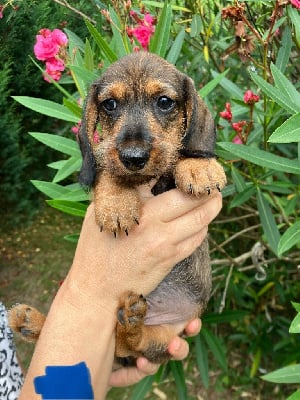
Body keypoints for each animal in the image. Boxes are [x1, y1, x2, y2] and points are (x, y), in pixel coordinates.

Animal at [8, 51, 225, 368]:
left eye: (164, 102)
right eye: (110, 104)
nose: (133, 158)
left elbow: (182, 154)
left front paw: (199, 166)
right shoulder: (107, 159)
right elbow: (107, 169)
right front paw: (117, 203)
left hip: (168, 336)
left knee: (132, 344)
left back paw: (129, 323)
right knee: (121, 345)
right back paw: (34, 322)